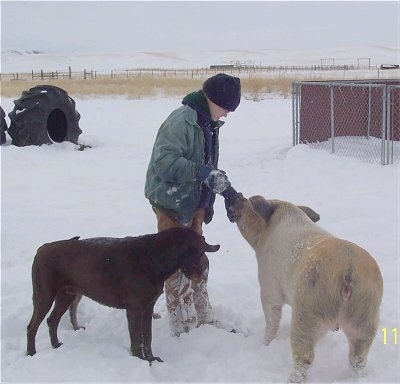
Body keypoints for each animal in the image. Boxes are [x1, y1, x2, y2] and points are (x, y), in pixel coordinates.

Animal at [26, 228, 220, 364]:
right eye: (199, 252)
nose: (202, 272)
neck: (153, 259)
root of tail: (40, 250)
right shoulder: (135, 309)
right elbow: (137, 339)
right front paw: (141, 362)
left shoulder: (147, 307)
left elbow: (147, 337)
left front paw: (151, 359)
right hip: (44, 295)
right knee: (32, 326)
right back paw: (31, 353)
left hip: (66, 295)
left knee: (52, 320)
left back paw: (56, 346)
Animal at [230, 196, 382, 382]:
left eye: (247, 204)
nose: (238, 197)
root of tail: (348, 269)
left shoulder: (268, 287)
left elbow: (272, 319)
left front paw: (265, 344)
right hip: (366, 315)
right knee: (358, 358)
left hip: (308, 311)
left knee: (305, 357)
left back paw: (291, 379)